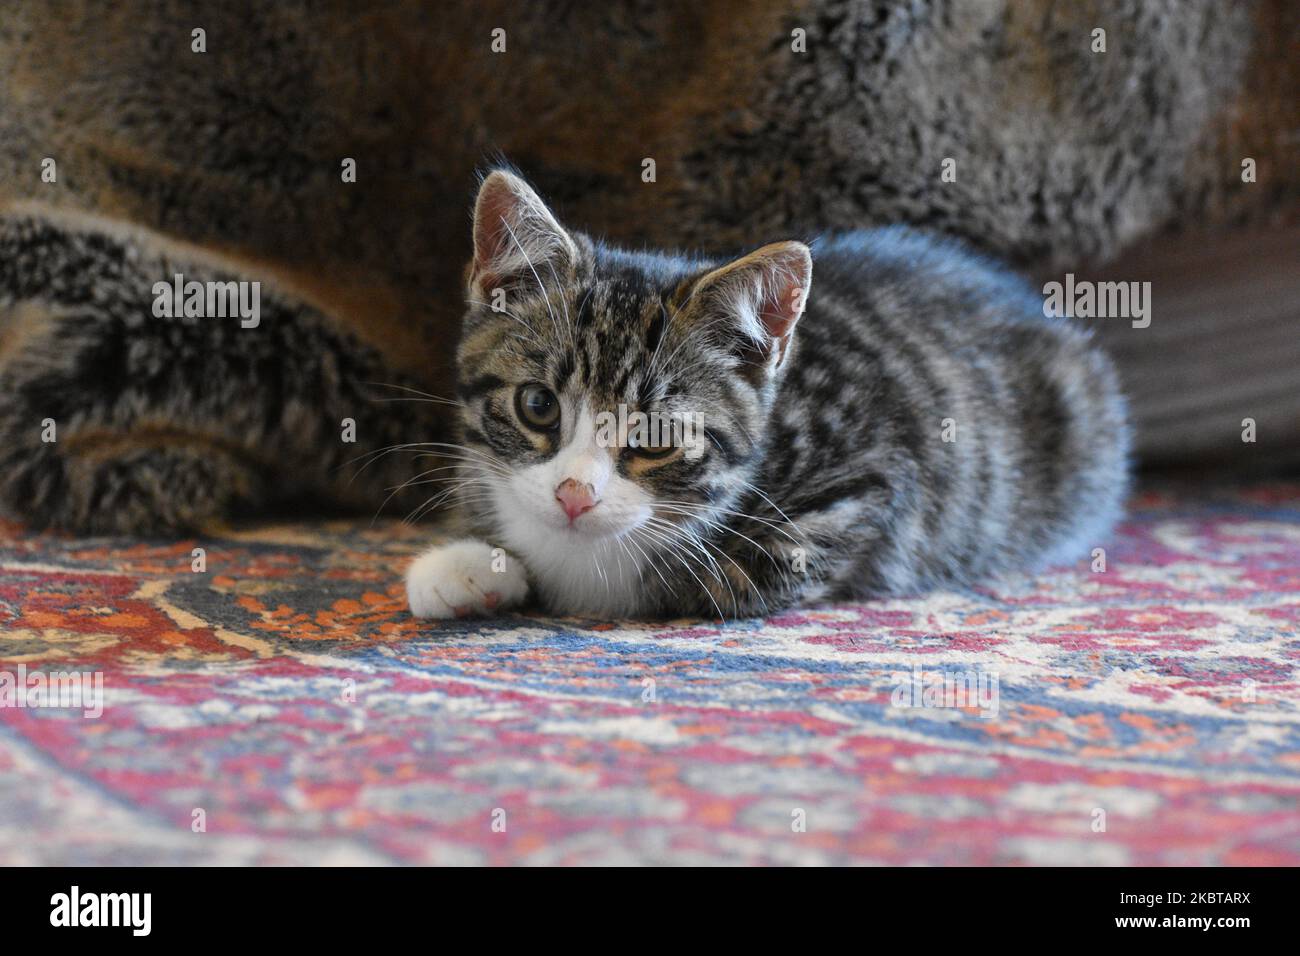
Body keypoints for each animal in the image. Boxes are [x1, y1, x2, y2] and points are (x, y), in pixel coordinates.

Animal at [405, 171, 1128, 621]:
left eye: (658, 439)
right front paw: (469, 561)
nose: (575, 495)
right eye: (538, 406)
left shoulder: (867, 488)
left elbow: (710, 581)